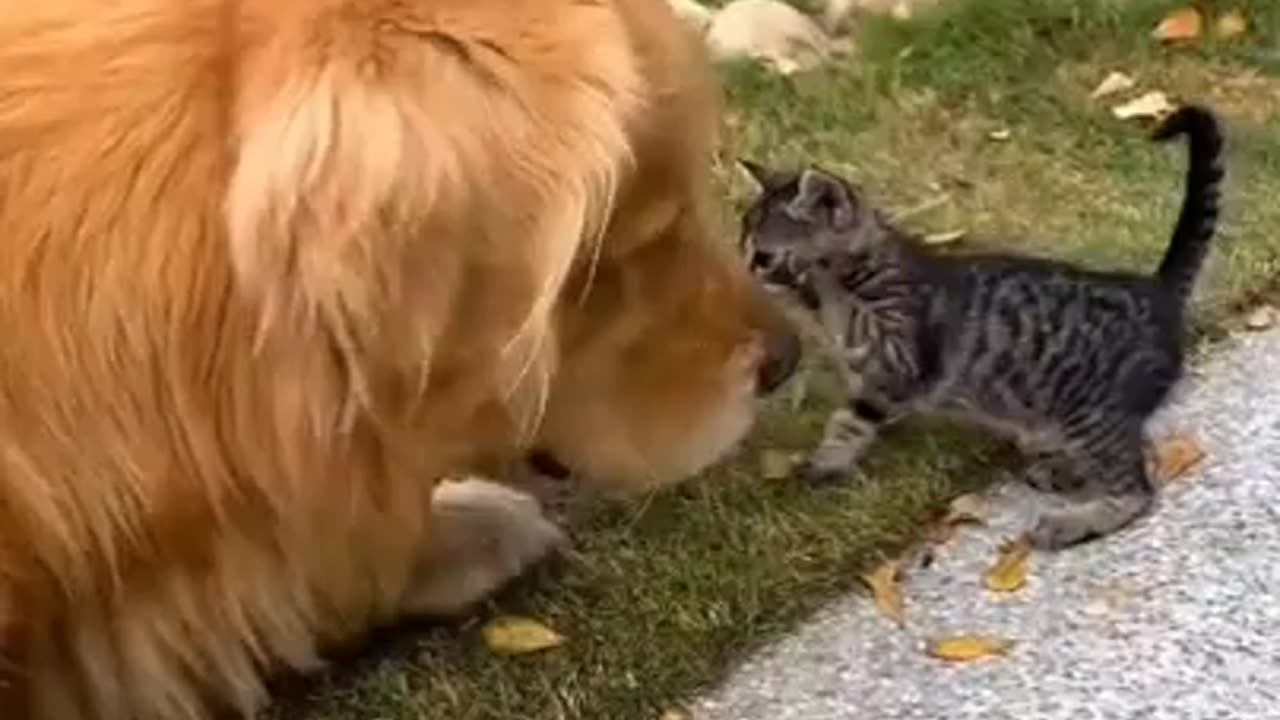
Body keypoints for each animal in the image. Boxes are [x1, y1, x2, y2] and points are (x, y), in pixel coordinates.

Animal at [742, 103, 1228, 545]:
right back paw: (1059, 472)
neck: (854, 283)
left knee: (1139, 485)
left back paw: (1073, 520)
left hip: (1091, 413)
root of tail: (1156, 288)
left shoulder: (898, 360)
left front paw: (825, 463)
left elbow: (848, 416)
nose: (746, 271)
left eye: (762, 255)